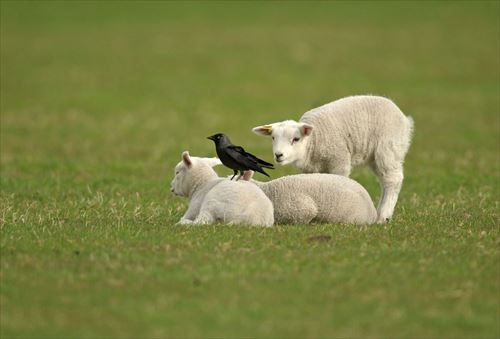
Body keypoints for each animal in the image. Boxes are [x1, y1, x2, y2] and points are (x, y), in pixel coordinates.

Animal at [254, 95, 414, 224]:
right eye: (273, 138)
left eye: (296, 139)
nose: (278, 155)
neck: (312, 141)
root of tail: (405, 120)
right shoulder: (310, 169)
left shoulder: (339, 160)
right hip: (375, 157)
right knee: (384, 181)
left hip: (388, 148)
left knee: (392, 180)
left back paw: (383, 216)